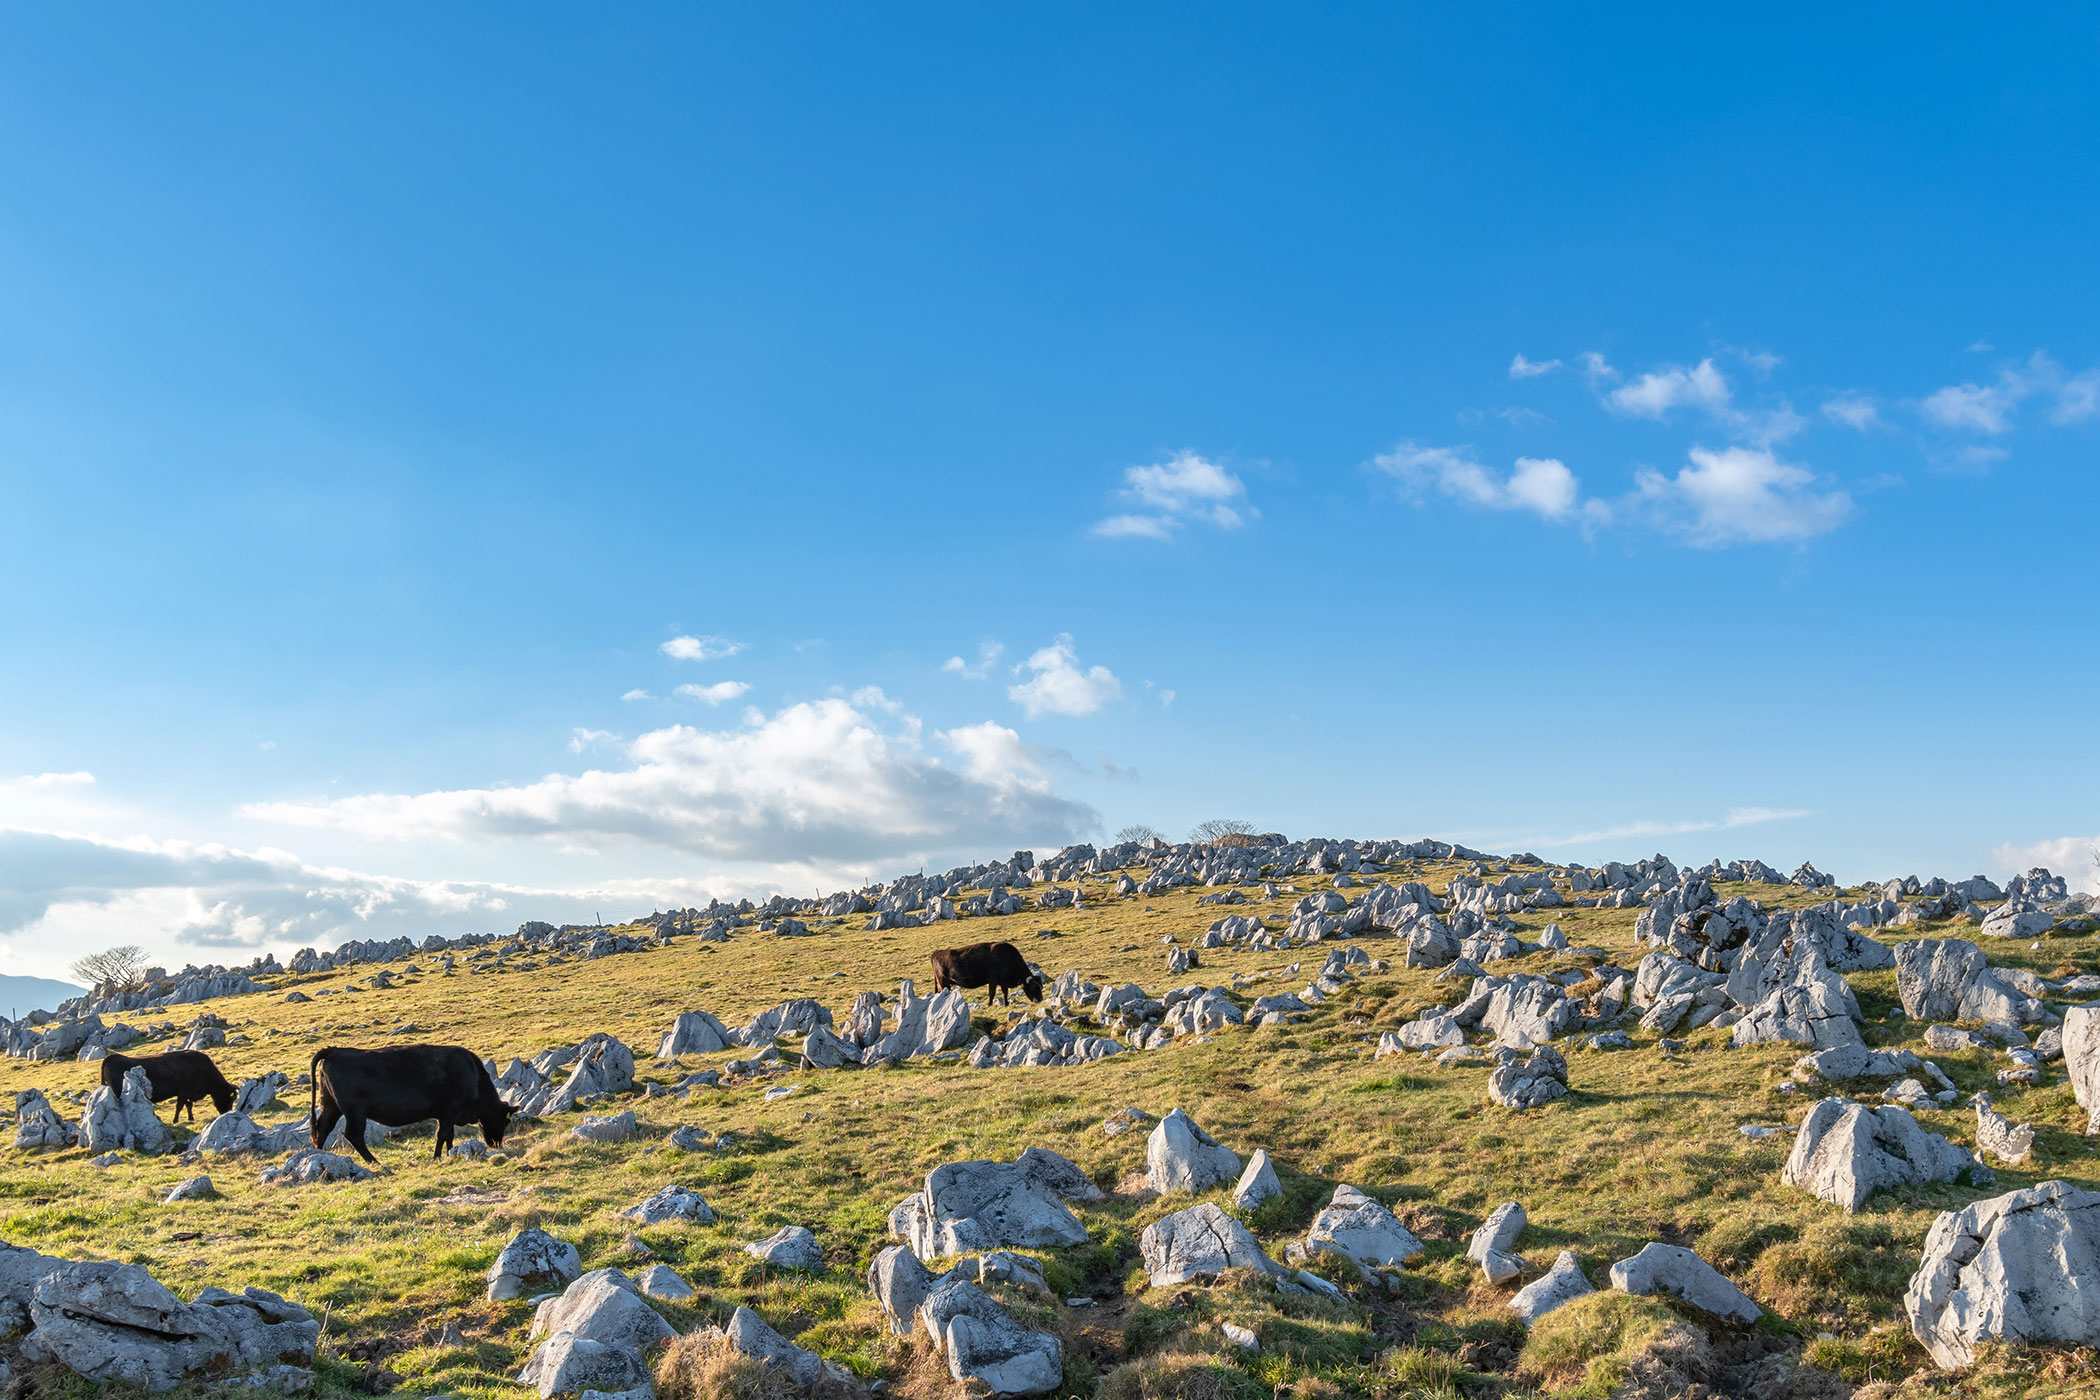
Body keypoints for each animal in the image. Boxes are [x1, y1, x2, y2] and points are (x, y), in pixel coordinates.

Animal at [99, 1050, 235, 1122]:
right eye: (229, 1099)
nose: (226, 1113)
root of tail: (110, 1057)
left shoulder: (184, 1093)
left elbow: (188, 1105)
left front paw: (190, 1118)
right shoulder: (184, 1092)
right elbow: (180, 1106)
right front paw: (175, 1120)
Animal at [309, 1043, 511, 1165]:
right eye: (505, 1121)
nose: (496, 1144)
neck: (473, 1075)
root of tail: (335, 1050)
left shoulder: (446, 1115)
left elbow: (449, 1135)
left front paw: (450, 1152)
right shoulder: (450, 1111)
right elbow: (442, 1134)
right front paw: (437, 1157)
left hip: (331, 1105)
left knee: (322, 1129)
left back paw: (321, 1155)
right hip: (355, 1112)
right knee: (354, 1135)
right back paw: (374, 1161)